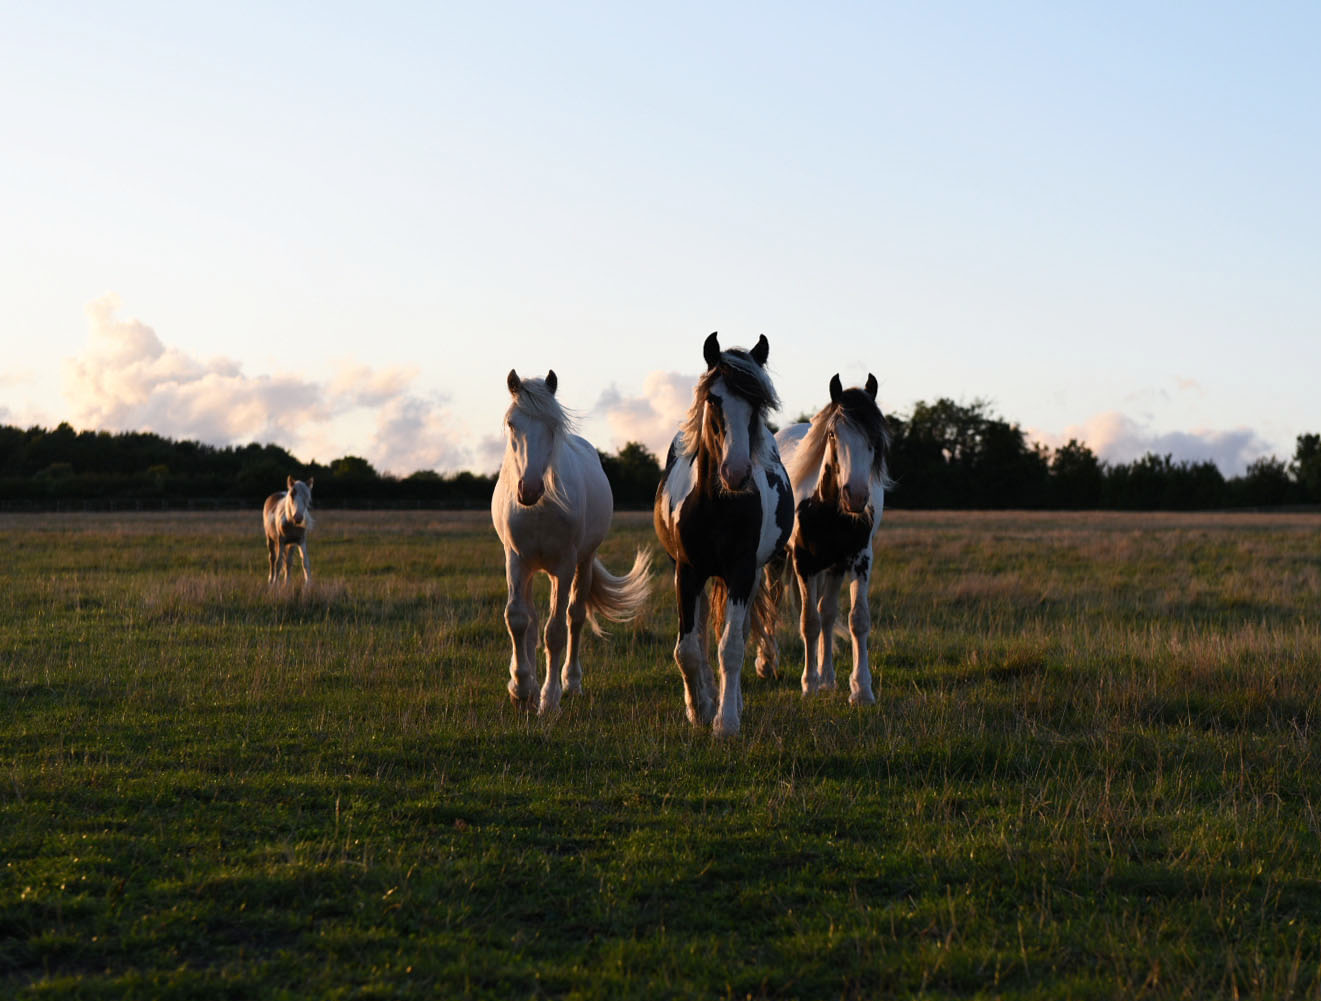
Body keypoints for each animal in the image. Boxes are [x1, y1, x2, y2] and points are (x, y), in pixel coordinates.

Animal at [652, 332, 787, 739]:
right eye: (714, 399)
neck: (716, 504)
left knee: (736, 634)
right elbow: (688, 649)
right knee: (699, 636)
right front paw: (699, 710)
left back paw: (731, 702)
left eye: (758, 403)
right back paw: (706, 697)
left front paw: (726, 723)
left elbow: (732, 647)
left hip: (750, 575)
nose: (736, 473)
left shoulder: (742, 572)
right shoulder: (686, 572)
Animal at [760, 375, 892, 707]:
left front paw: (861, 689)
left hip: (832, 567)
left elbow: (856, 619)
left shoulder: (858, 560)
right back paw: (767, 664)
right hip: (779, 560)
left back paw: (828, 679)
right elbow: (809, 622)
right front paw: (808, 684)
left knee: (828, 613)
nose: (856, 496)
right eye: (833, 434)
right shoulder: (804, 563)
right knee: (774, 601)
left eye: (876, 437)